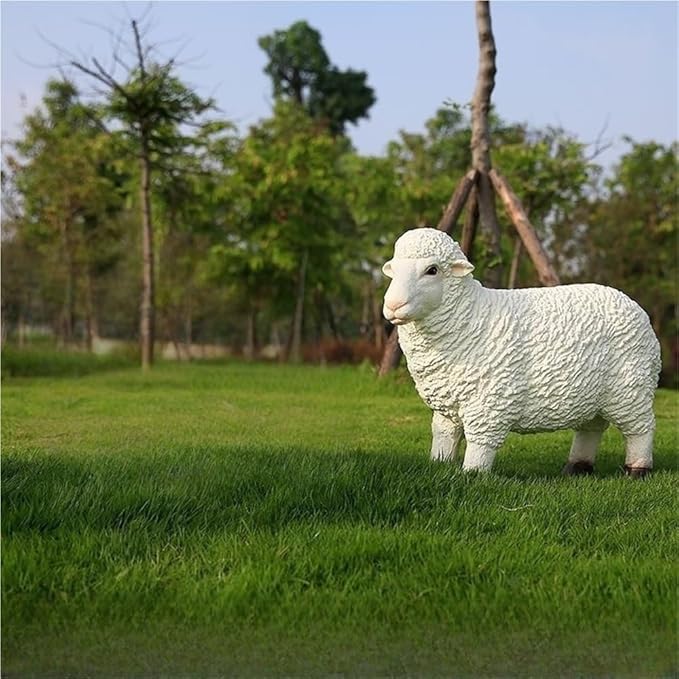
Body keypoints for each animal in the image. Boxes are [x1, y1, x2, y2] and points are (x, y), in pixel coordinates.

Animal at [382, 227, 661, 476]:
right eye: (393, 270)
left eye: (432, 270)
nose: (393, 306)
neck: (469, 316)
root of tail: (639, 311)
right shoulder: (447, 404)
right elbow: (444, 434)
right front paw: (438, 464)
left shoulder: (489, 401)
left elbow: (480, 442)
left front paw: (473, 474)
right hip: (593, 394)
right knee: (590, 428)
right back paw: (577, 467)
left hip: (630, 388)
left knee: (641, 428)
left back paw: (637, 469)